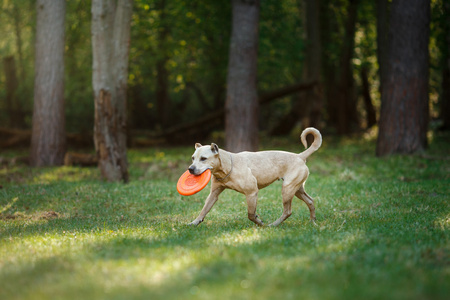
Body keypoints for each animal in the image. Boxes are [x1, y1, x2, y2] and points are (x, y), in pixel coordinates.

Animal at [188, 127, 322, 227]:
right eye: (193, 158)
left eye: (203, 158)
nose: (190, 169)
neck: (228, 165)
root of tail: (300, 156)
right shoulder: (214, 194)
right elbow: (204, 210)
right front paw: (194, 222)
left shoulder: (251, 193)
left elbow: (251, 214)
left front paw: (260, 223)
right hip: (297, 189)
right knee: (310, 201)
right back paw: (313, 221)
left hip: (287, 189)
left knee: (287, 211)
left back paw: (273, 225)